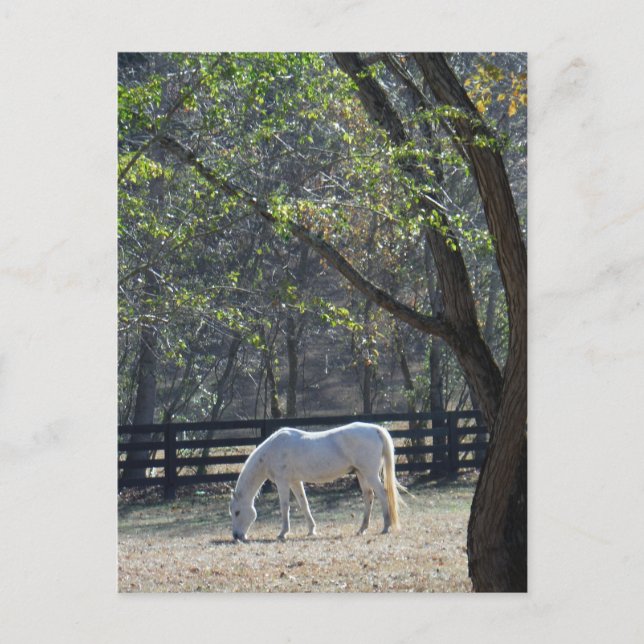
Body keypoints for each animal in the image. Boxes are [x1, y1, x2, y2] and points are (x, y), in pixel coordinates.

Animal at [229, 422, 403, 541]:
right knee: (369, 496)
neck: (273, 450)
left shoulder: (283, 482)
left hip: (370, 474)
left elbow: (284, 507)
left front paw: (283, 533)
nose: (236, 536)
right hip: (362, 474)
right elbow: (303, 504)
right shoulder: (295, 482)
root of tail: (375, 429)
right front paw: (311, 530)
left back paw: (386, 526)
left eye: (237, 512)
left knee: (383, 494)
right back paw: (362, 529)